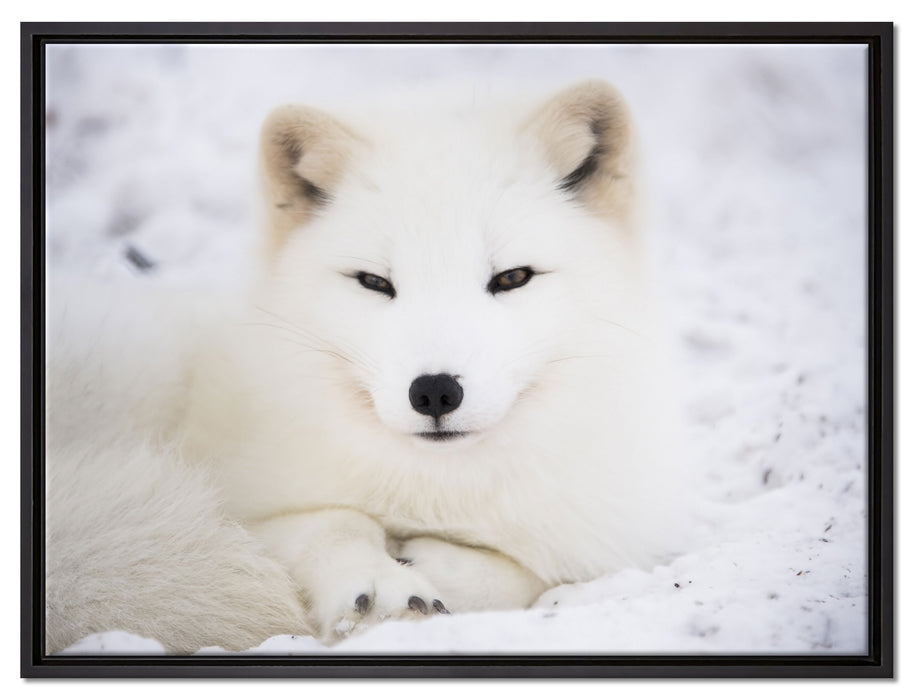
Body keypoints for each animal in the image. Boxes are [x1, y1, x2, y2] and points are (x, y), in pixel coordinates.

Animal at [44, 79, 685, 653]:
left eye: (512, 278)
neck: (437, 491)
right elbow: (331, 521)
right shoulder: (247, 506)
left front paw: (435, 568)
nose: (434, 392)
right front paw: (380, 587)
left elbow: (529, 572)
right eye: (375, 283)